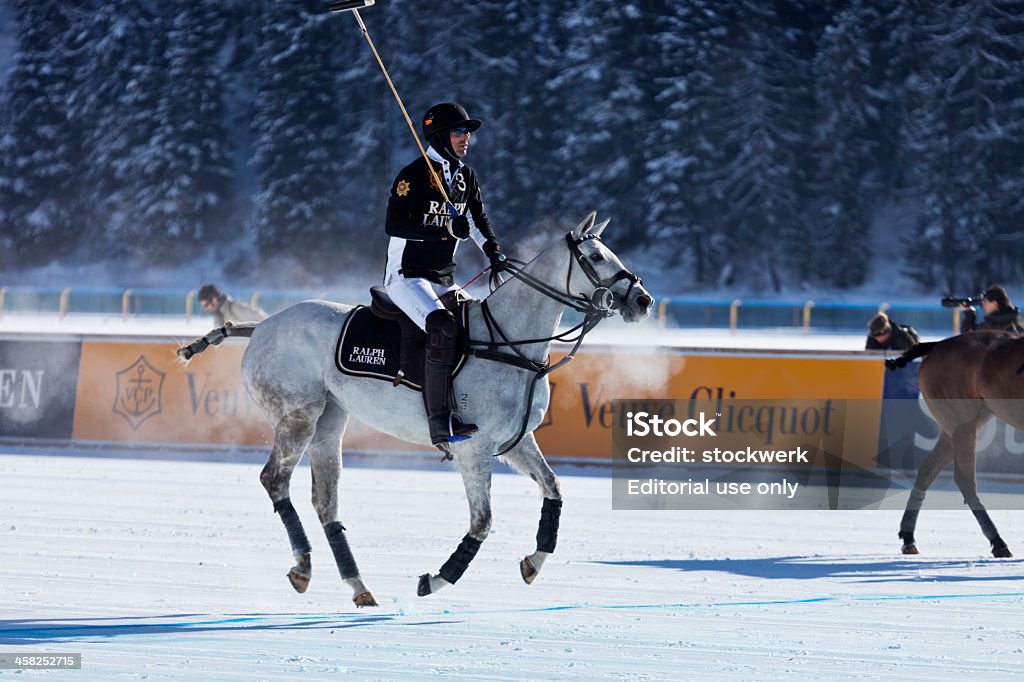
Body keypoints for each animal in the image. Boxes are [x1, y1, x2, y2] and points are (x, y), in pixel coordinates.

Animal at [179, 209, 651, 602]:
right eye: (595, 255)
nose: (642, 300)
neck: (510, 343)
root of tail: (260, 326)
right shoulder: (473, 448)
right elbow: (482, 521)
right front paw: (436, 579)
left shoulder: (516, 442)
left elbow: (552, 487)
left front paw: (532, 563)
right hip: (297, 415)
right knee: (274, 480)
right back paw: (304, 566)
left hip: (330, 421)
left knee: (324, 501)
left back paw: (358, 586)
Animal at [884, 329, 1019, 557]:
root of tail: (937, 345)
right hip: (961, 421)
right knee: (965, 480)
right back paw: (998, 542)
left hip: (957, 426)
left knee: (928, 470)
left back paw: (909, 536)